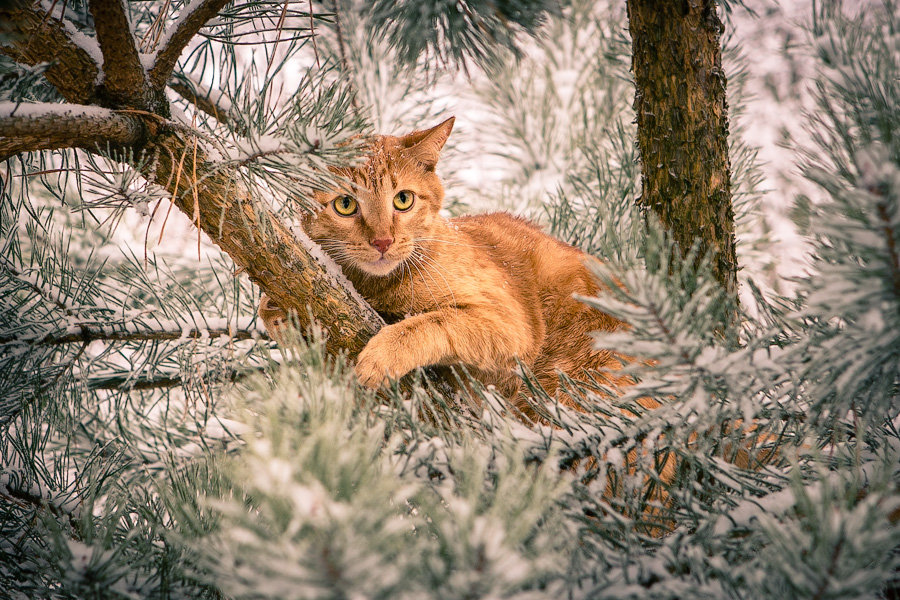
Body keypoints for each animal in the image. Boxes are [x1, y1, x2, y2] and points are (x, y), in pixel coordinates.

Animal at [260, 119, 632, 414]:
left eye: (403, 199)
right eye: (345, 205)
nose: (382, 241)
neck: (376, 288)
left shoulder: (508, 325)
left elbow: (431, 323)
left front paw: (383, 354)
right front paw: (278, 312)